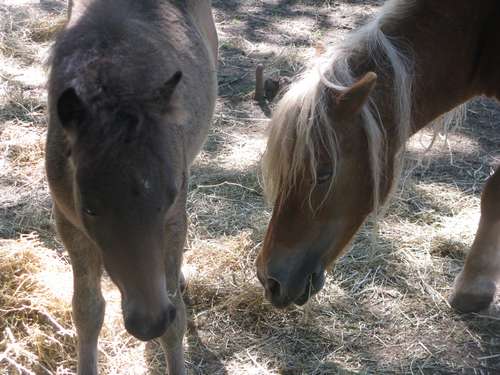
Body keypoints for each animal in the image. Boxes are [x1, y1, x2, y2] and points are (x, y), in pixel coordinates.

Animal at [46, 1, 217, 374]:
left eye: (169, 197)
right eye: (89, 208)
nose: (148, 322)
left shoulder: (174, 218)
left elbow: (177, 319)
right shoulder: (68, 222)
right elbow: (87, 310)